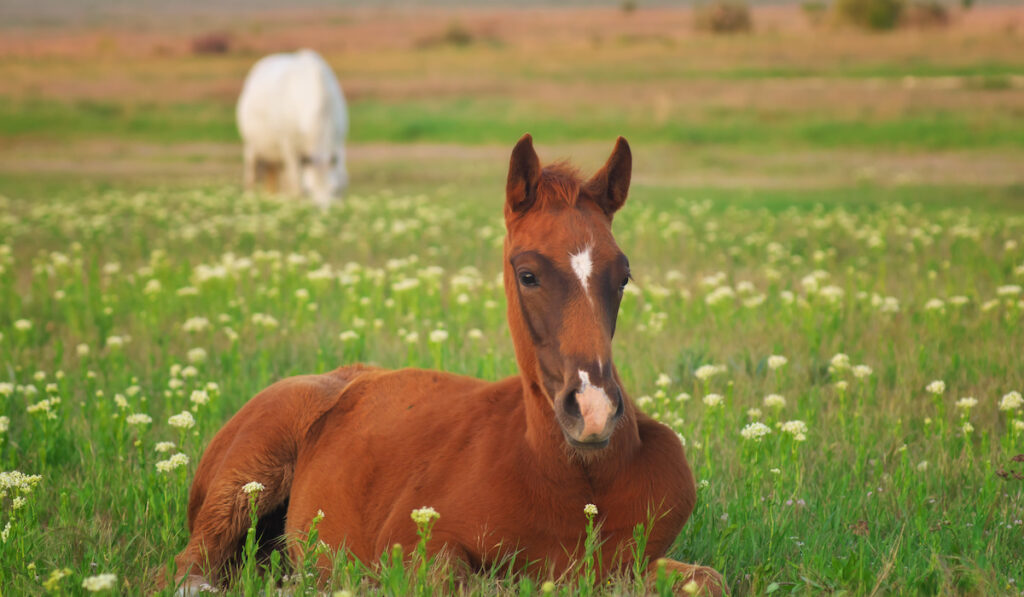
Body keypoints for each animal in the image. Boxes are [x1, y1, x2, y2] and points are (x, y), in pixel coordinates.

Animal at [237, 50, 350, 210]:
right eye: (309, 190)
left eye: (333, 189)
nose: (322, 211)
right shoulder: (289, 147)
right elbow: (296, 183)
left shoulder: (339, 142)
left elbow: (342, 176)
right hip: (252, 146)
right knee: (251, 176)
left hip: (275, 157)